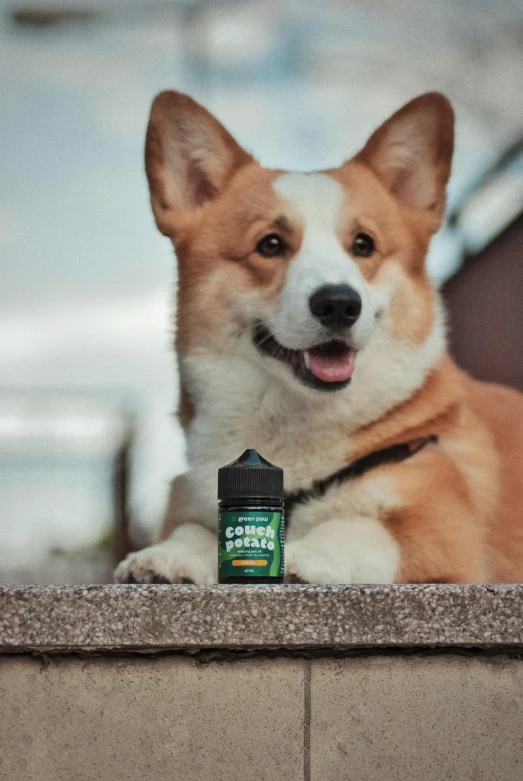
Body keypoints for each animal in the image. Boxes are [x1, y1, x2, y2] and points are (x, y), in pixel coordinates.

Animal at [116, 88, 523, 580]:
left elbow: (359, 529)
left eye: (363, 244)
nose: (339, 305)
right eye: (270, 244)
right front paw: (165, 557)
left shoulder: (441, 530)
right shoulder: (190, 499)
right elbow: (194, 530)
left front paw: (306, 555)